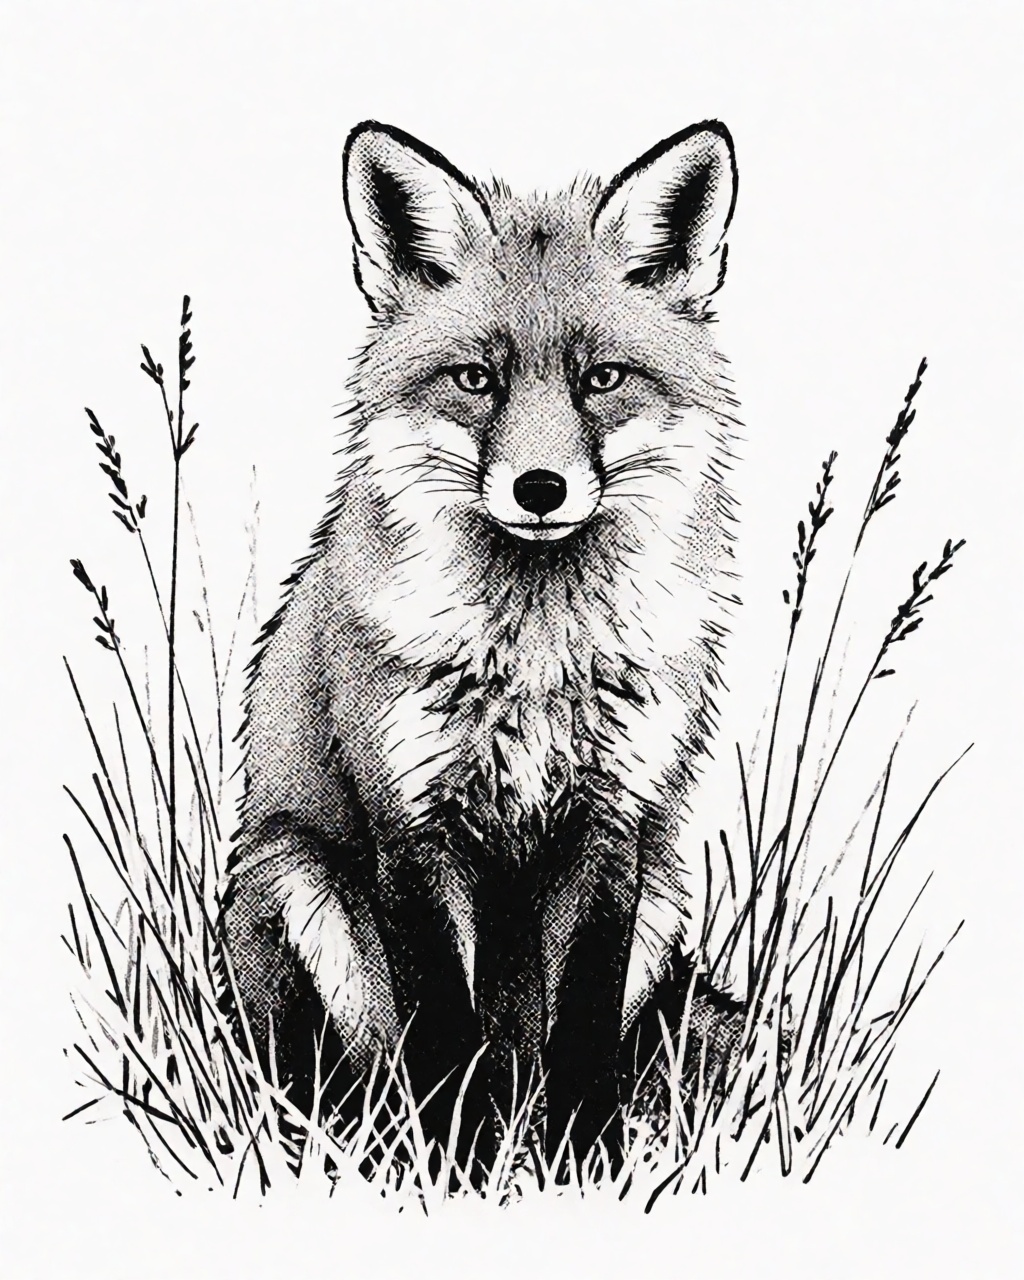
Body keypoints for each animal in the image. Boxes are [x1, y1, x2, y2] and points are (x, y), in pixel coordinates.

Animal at [223, 119, 745, 1172]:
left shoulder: (613, 822)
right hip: (297, 880)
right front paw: (453, 1167)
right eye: (477, 379)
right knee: (336, 1075)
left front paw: (586, 1166)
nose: (540, 489)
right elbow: (438, 1029)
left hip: (667, 888)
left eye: (600, 379)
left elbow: (582, 1025)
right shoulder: (409, 822)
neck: (537, 657)